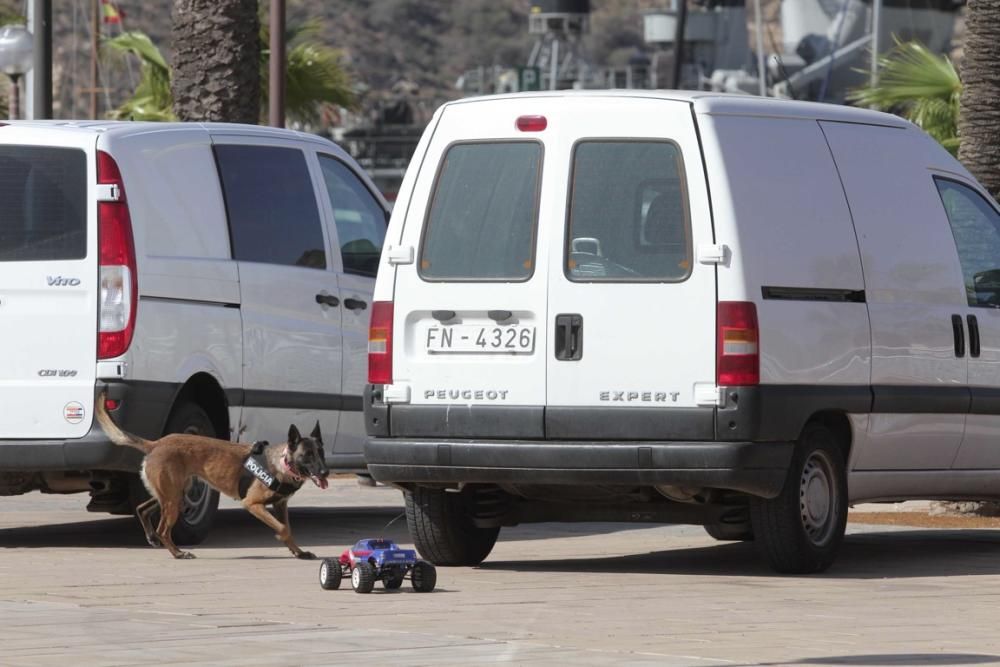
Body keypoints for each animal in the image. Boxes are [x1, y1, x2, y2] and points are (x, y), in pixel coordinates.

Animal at [94, 400, 330, 560]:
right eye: (307, 455)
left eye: (321, 452)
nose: (325, 472)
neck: (282, 463)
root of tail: (156, 444)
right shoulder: (252, 504)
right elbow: (282, 528)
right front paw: (285, 541)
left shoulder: (280, 505)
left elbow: (288, 528)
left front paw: (298, 552)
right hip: (173, 500)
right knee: (163, 530)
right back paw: (178, 553)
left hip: (175, 494)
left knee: (142, 509)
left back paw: (153, 538)